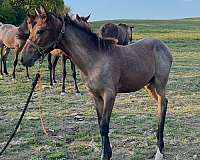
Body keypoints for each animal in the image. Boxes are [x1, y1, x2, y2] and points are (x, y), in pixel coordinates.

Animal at [20, 6, 173, 160]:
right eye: (31, 29)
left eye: (40, 30)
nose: (23, 58)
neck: (95, 59)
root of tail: (163, 46)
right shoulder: (96, 95)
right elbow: (100, 124)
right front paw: (107, 153)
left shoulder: (109, 95)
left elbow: (105, 126)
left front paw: (105, 155)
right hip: (149, 85)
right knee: (160, 104)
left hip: (159, 84)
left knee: (162, 104)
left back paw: (159, 151)